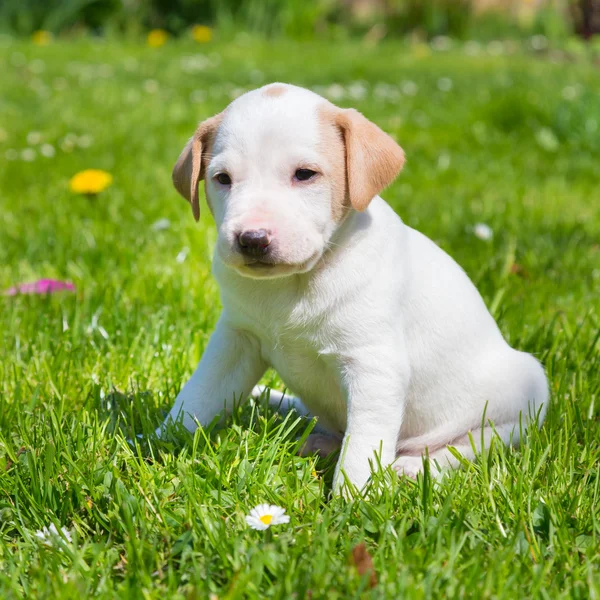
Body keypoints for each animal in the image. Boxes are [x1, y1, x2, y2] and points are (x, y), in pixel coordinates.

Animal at [161, 82, 548, 490]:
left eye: (304, 174)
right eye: (222, 179)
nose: (252, 239)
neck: (293, 285)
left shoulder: (374, 367)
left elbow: (363, 444)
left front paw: (355, 497)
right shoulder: (236, 341)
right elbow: (198, 395)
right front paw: (156, 442)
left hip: (524, 393)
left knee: (473, 445)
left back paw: (415, 465)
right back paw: (320, 442)